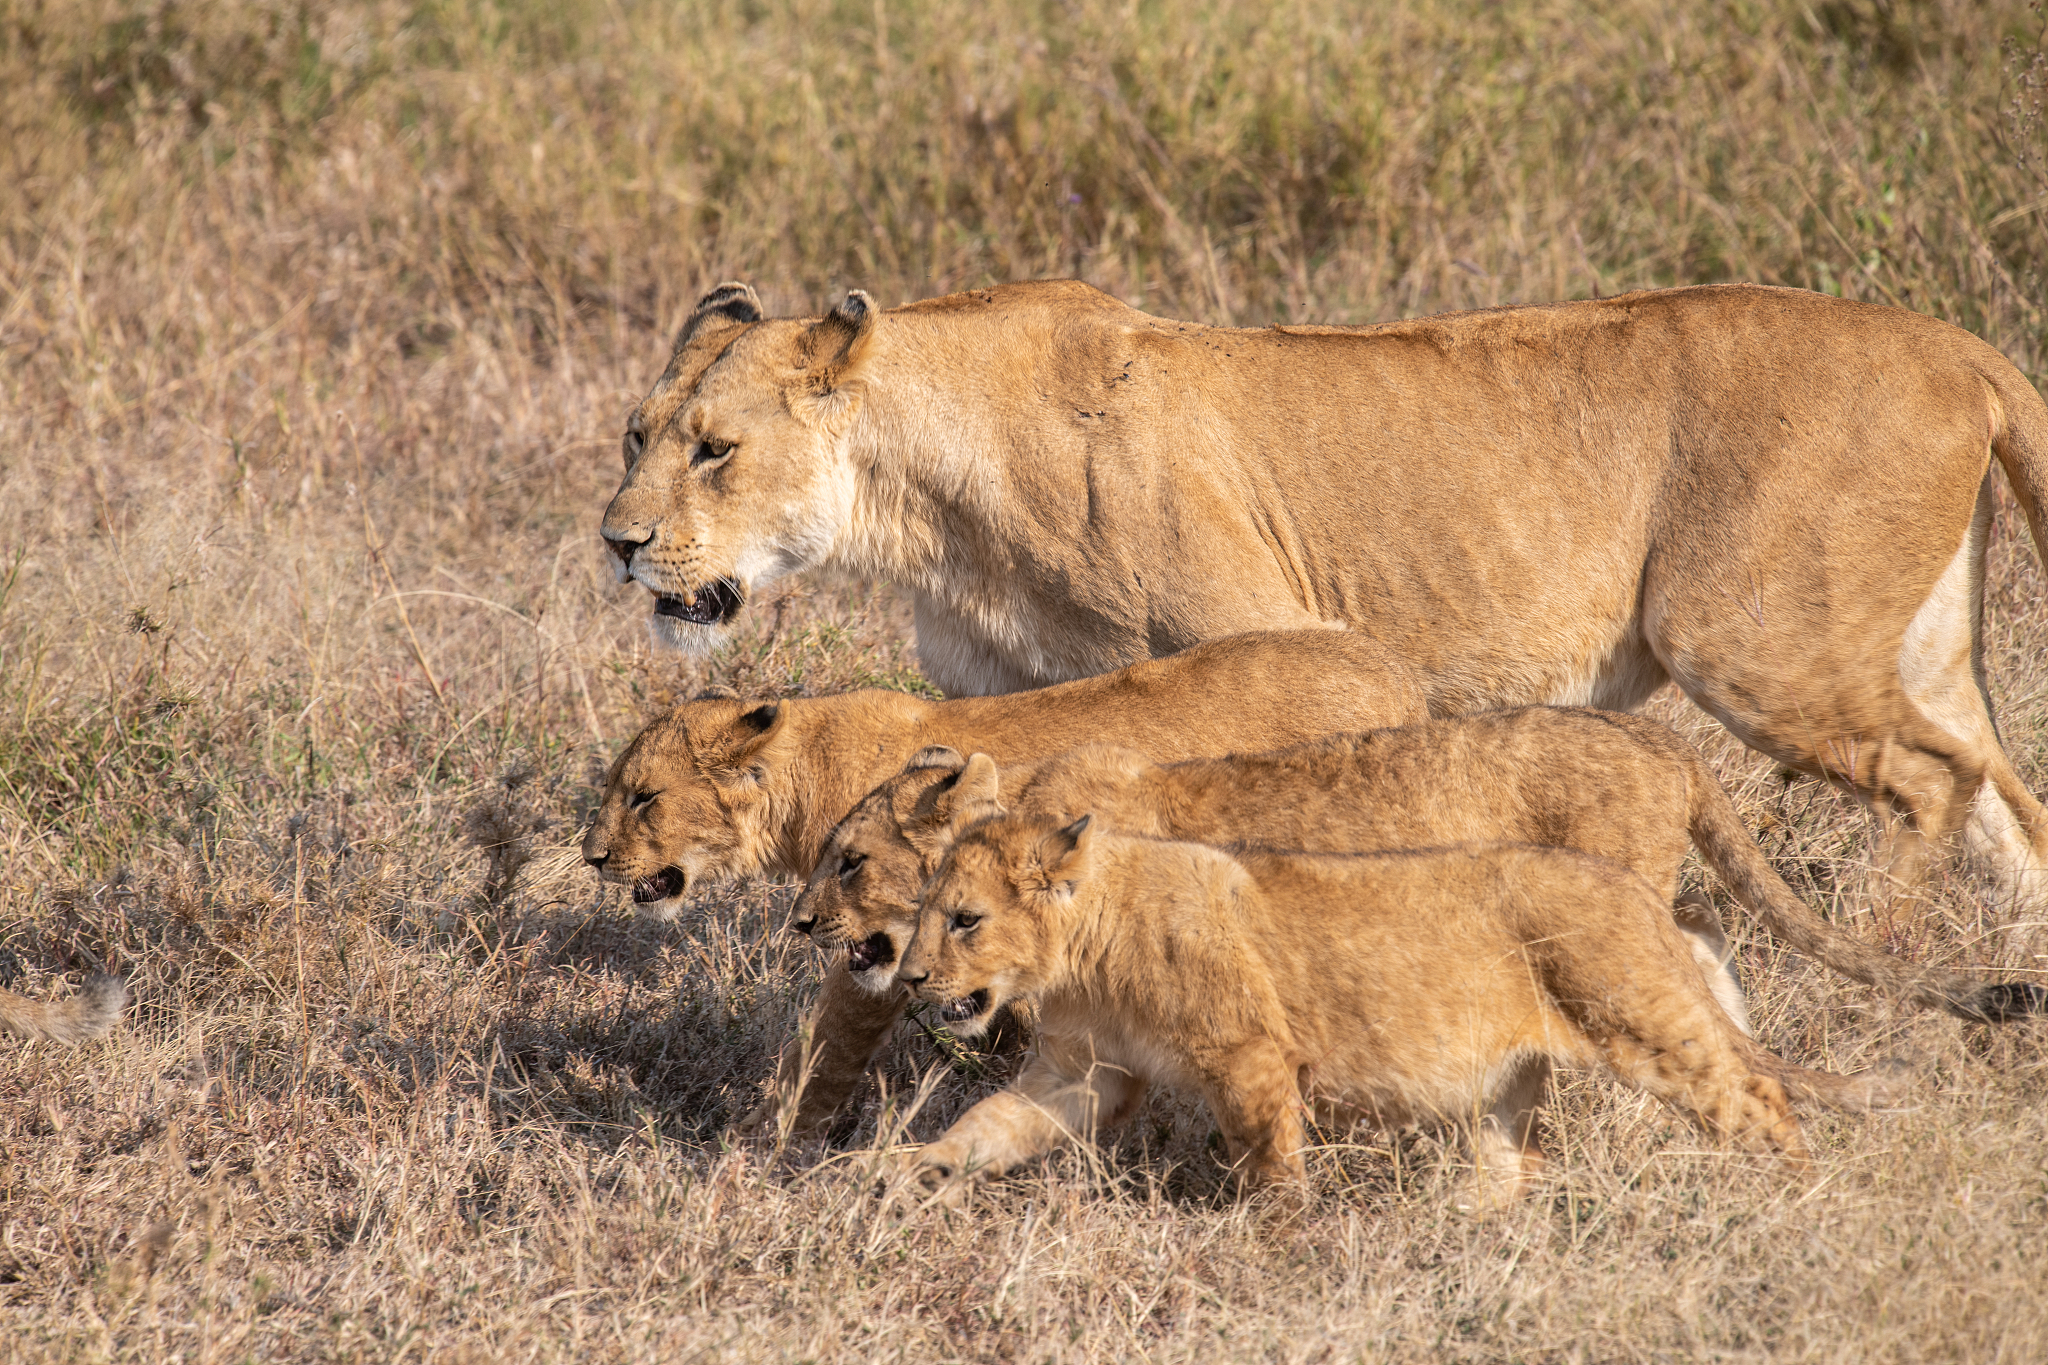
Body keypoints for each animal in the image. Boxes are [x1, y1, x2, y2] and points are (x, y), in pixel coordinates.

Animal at [897, 817, 1881, 1210]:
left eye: (965, 919)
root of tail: (1638, 890)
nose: (906, 978)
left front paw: (1278, 1249)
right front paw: (912, 1170)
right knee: (1512, 1162)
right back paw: (1467, 1235)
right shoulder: (1085, 1074)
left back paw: (1804, 1199)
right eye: (923, 910)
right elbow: (993, 1122)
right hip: (1509, 1082)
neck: (1082, 953)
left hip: (1643, 1020)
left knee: (1755, 1096)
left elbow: (1270, 1169)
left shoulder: (1251, 1057)